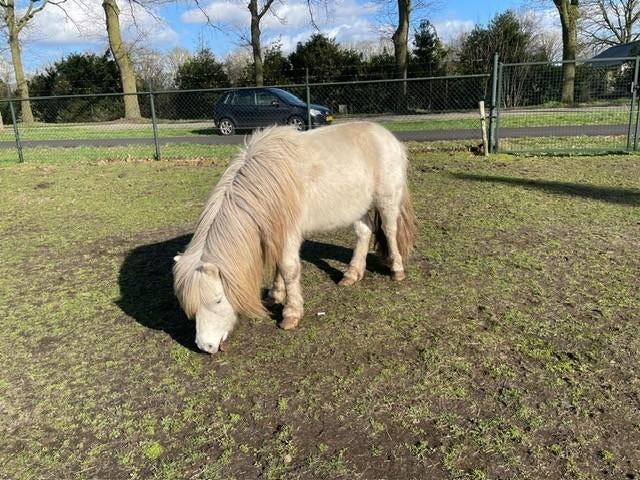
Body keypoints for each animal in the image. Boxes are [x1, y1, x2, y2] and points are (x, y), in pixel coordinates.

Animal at [173, 121, 416, 353]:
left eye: (217, 299)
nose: (205, 346)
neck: (265, 184)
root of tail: (389, 137)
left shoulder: (288, 235)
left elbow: (289, 270)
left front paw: (291, 313)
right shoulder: (275, 234)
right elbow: (279, 268)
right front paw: (275, 296)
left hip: (386, 201)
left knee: (390, 230)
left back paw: (397, 270)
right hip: (358, 207)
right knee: (364, 232)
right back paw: (351, 274)